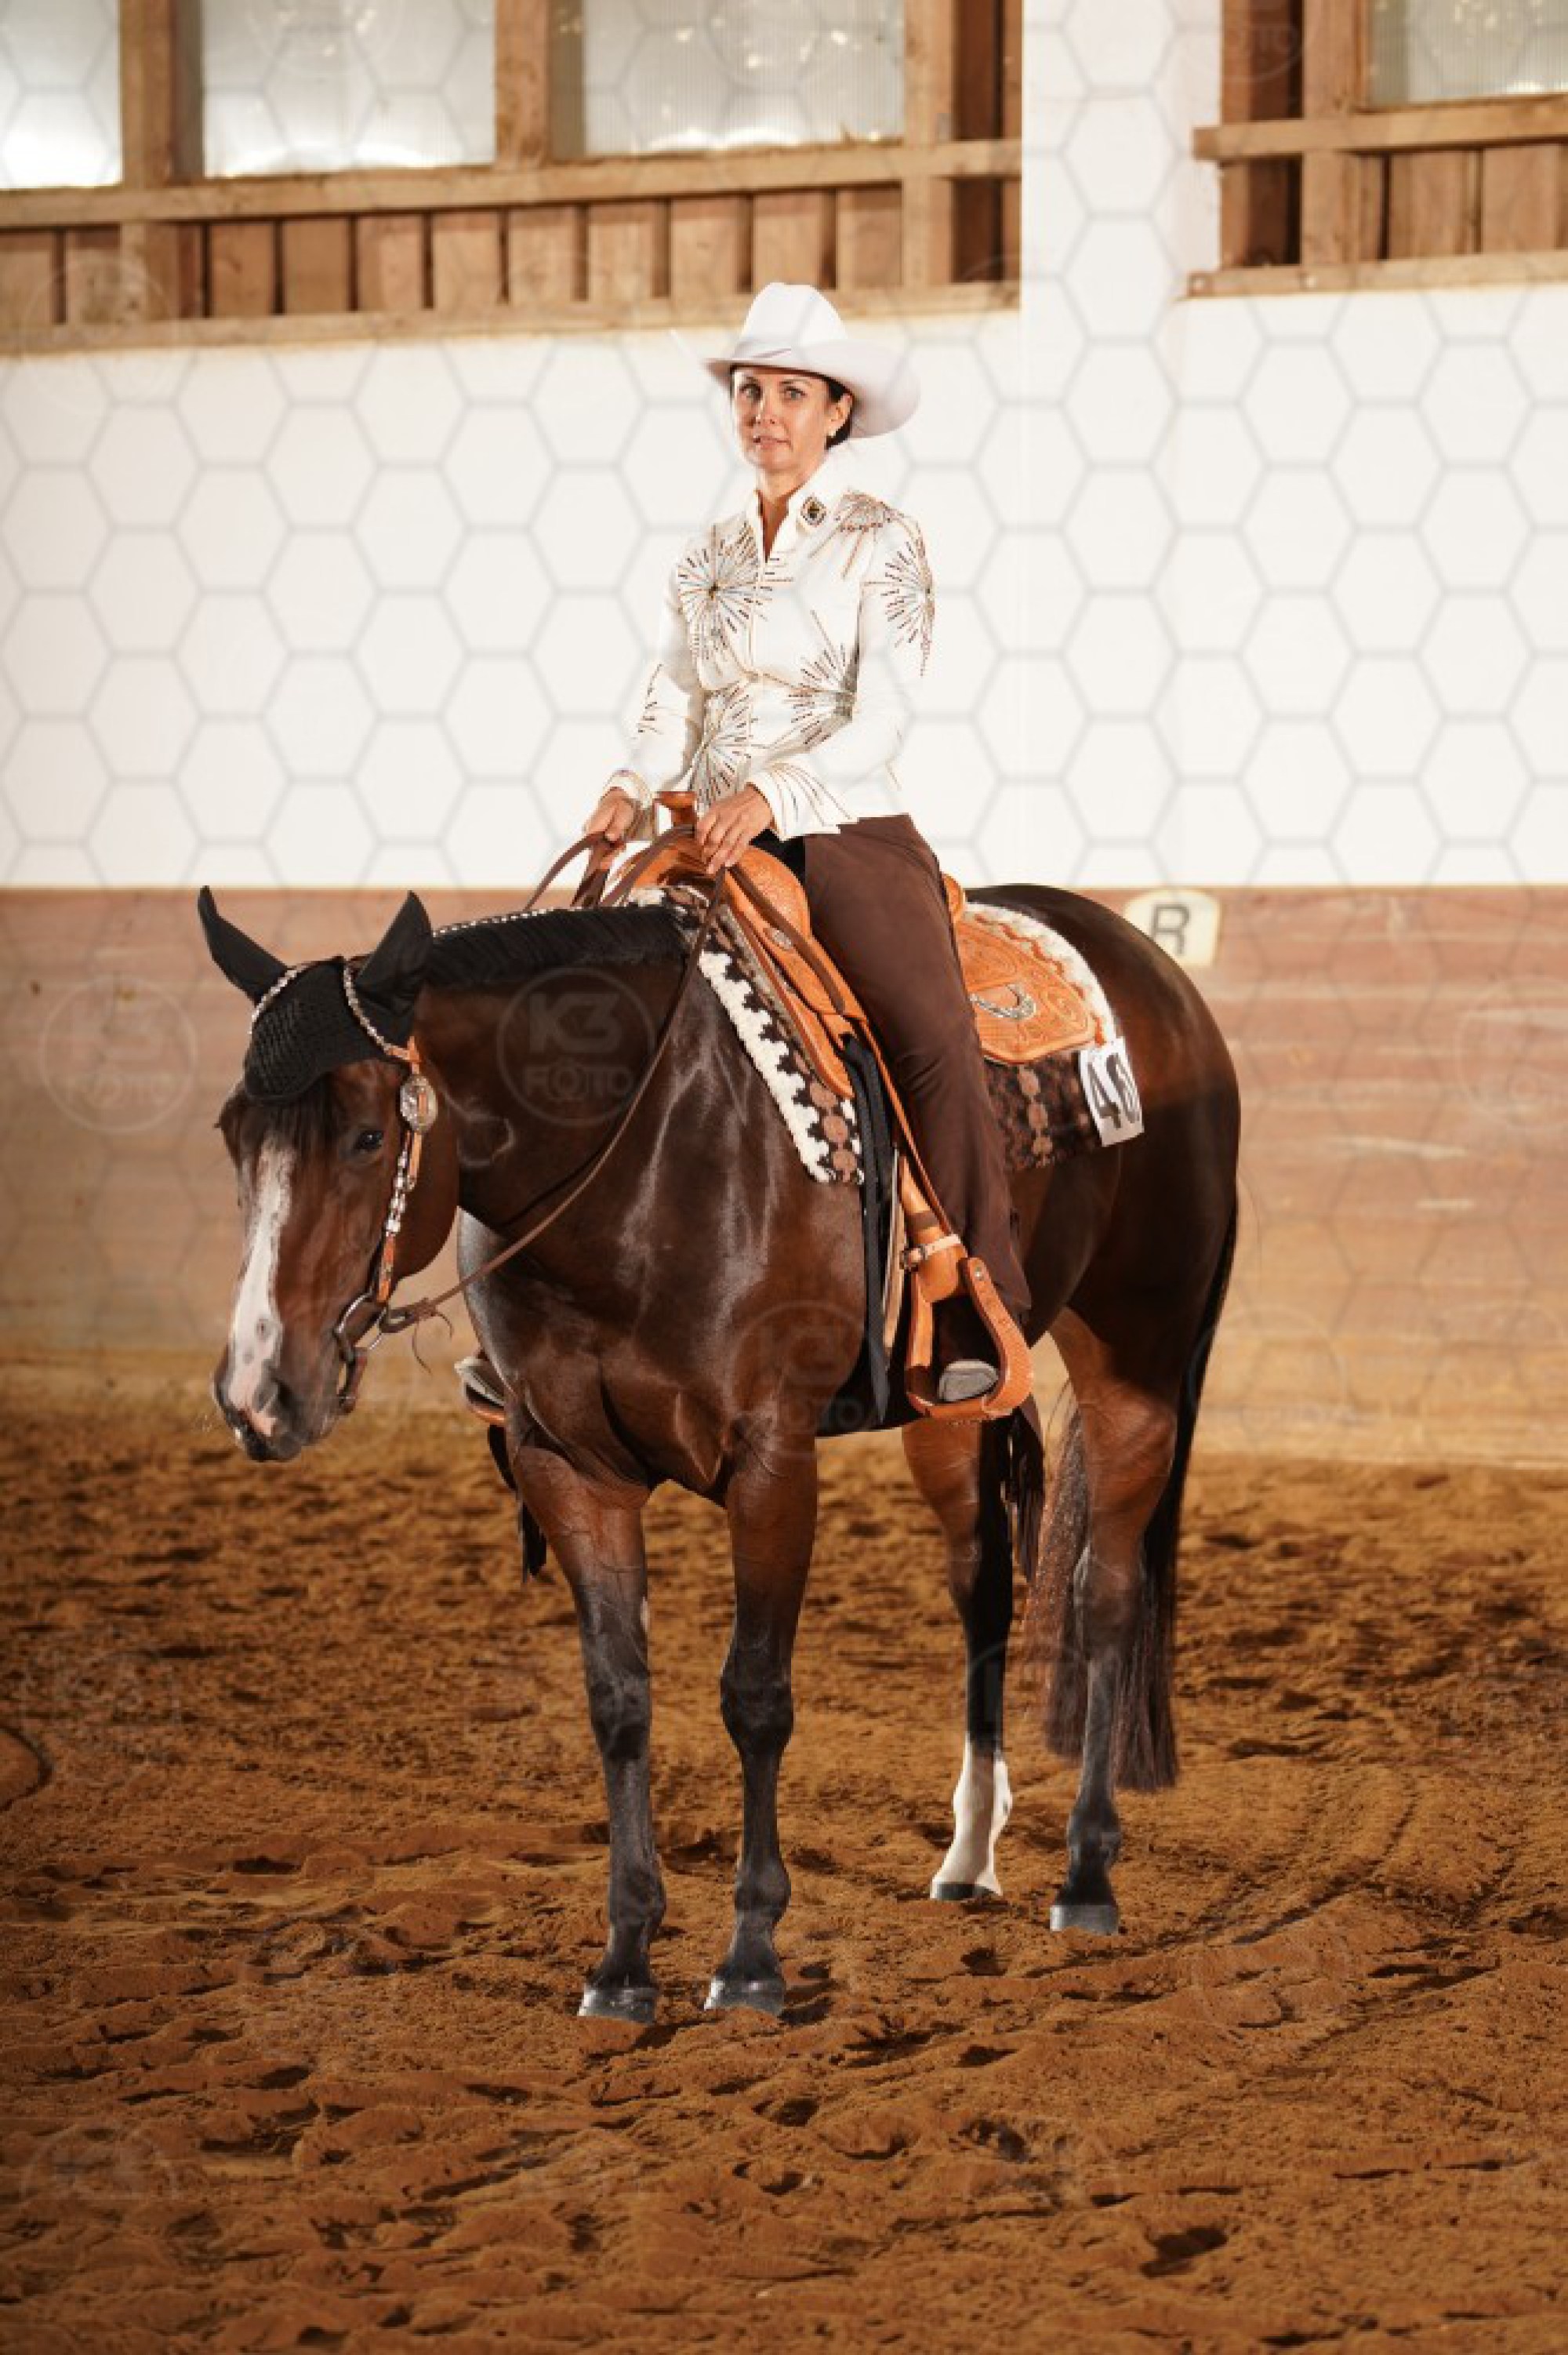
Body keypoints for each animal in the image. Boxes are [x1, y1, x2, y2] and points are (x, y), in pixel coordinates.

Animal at [201, 869, 1239, 2023]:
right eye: (234, 1134)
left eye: (366, 1137)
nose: (260, 1392)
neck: (640, 1169)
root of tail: (1154, 976)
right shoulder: (568, 1465)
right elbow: (618, 1699)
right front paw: (623, 1958)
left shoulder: (771, 1459)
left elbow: (755, 1697)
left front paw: (750, 1954)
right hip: (949, 1412)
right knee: (983, 1594)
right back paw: (968, 1855)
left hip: (1139, 1361)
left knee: (1106, 1593)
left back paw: (1087, 1872)